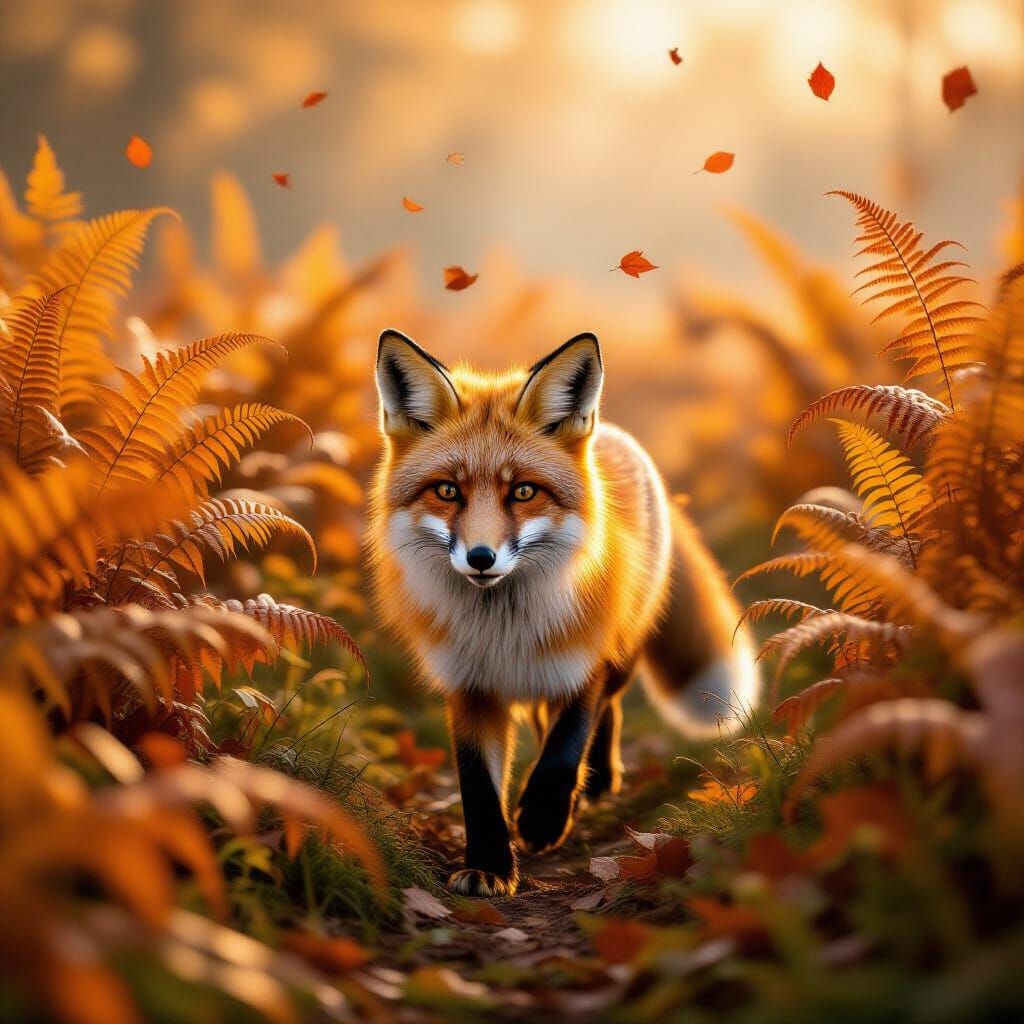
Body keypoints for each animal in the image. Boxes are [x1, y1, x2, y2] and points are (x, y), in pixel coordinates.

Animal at [368, 329, 759, 897]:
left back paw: (597, 780)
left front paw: (542, 819)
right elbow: (478, 788)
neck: (502, 627)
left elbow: (565, 747)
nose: (480, 557)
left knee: (605, 712)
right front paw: (489, 865)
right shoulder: (470, 685)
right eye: (447, 490)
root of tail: (612, 434)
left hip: (617, 653)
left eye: (523, 491)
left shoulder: (582, 660)